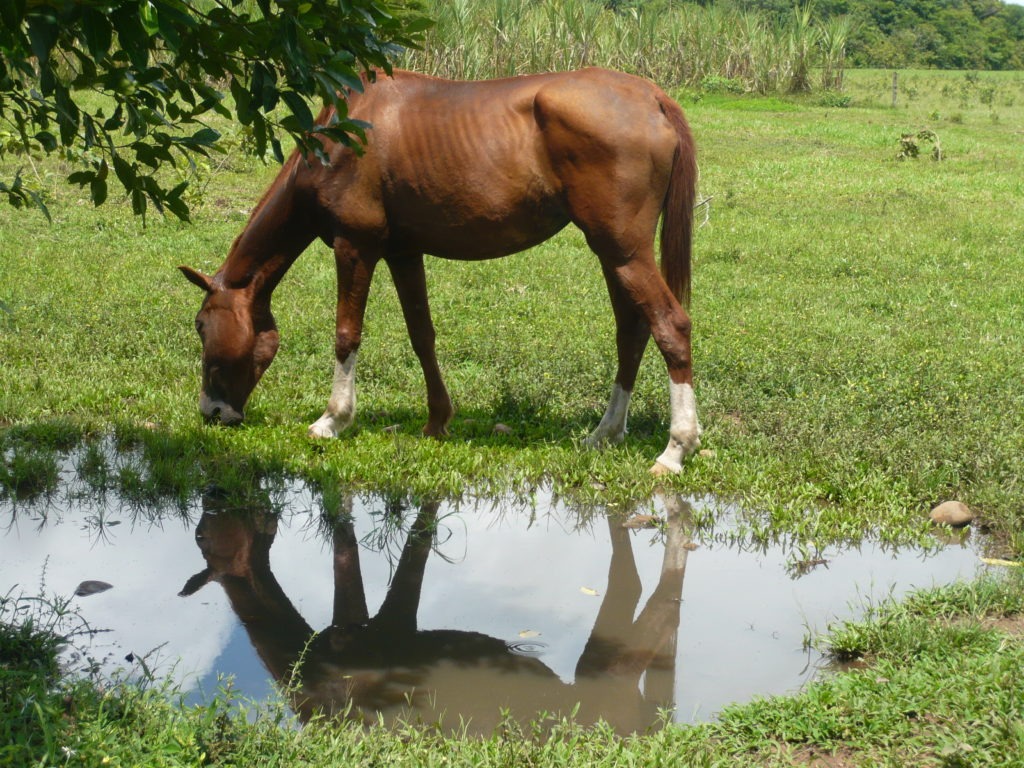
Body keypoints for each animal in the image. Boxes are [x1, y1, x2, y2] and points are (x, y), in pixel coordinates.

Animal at [180, 67, 702, 474]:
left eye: (201, 325)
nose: (211, 411)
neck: (342, 135)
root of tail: (652, 96)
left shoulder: (355, 247)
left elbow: (347, 335)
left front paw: (332, 421)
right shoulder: (404, 253)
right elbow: (421, 335)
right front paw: (436, 421)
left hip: (623, 251)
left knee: (671, 326)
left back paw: (676, 449)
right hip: (614, 254)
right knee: (632, 331)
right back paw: (605, 433)